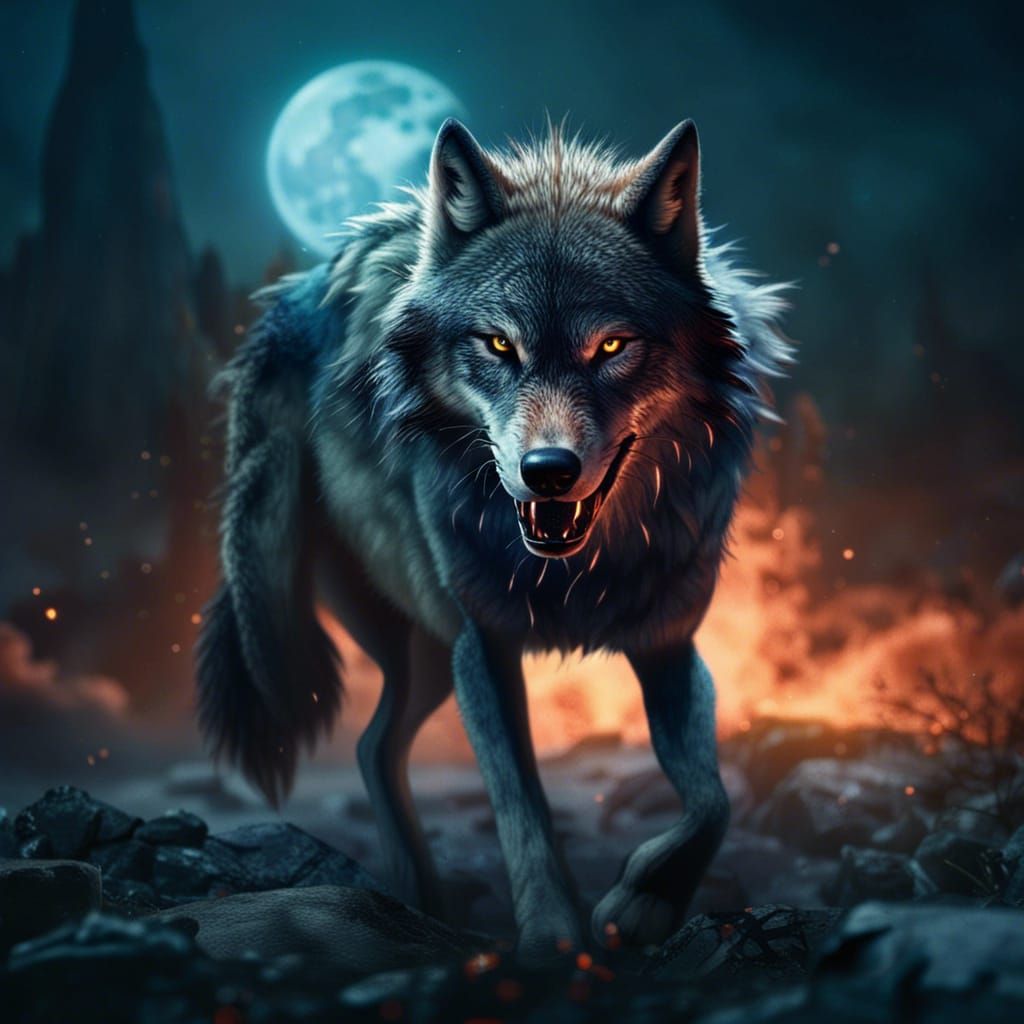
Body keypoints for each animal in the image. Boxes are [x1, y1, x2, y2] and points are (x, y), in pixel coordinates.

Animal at [196, 116, 791, 960]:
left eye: (612, 348)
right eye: (499, 345)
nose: (547, 471)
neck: (576, 572)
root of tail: (291, 304)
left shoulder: (667, 643)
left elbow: (711, 802)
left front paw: (644, 901)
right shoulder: (485, 644)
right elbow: (522, 807)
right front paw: (550, 935)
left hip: (427, 657)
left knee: (374, 745)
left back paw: (423, 898)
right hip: (414, 633)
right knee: (376, 743)